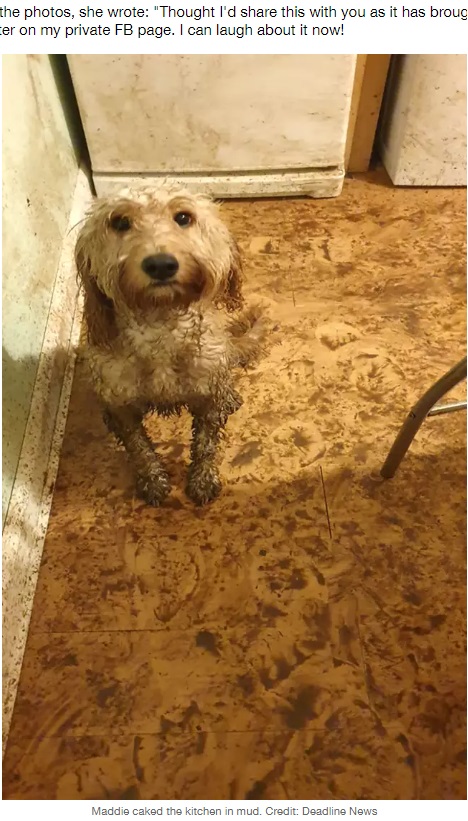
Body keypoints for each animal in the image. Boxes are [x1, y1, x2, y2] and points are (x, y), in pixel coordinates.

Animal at [76, 186, 266, 506]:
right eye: (120, 222)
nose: (160, 264)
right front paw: (153, 480)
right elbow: (138, 447)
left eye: (183, 217)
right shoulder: (120, 404)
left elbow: (205, 444)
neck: (160, 327)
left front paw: (202, 479)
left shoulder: (208, 393)